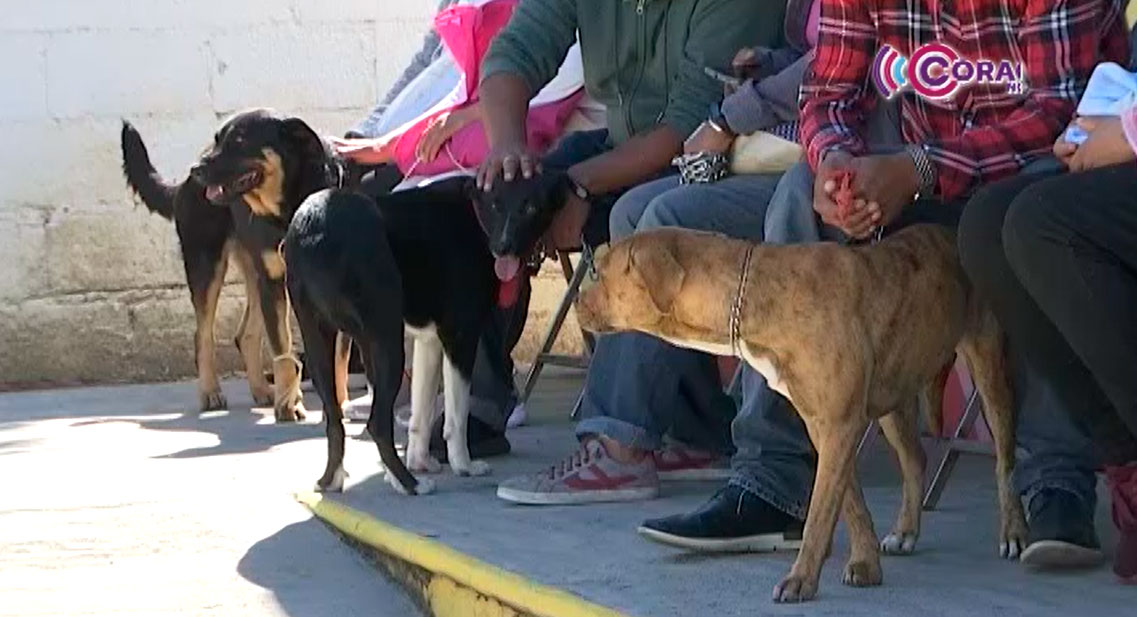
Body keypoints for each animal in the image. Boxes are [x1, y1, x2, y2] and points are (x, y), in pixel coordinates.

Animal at [122, 109, 341, 420]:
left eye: (239, 141)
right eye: (218, 139)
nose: (196, 169)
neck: (287, 209)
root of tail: (183, 185)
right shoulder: (274, 282)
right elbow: (283, 351)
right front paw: (289, 404)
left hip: (253, 275)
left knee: (245, 335)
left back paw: (262, 390)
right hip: (207, 266)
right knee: (203, 336)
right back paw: (211, 392)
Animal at [284, 174, 568, 497]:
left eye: (531, 207)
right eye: (495, 204)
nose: (503, 247)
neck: (475, 213)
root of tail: (314, 230)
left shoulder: (429, 342)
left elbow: (421, 411)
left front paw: (419, 461)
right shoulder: (460, 336)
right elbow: (457, 415)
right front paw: (463, 465)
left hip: (323, 342)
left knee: (334, 418)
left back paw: (334, 479)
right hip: (387, 341)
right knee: (378, 424)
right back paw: (411, 484)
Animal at [577, 226, 1032, 604]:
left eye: (601, 273)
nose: (578, 300)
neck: (752, 294)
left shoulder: (840, 426)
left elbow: (819, 513)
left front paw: (801, 580)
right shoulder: (825, 427)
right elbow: (849, 504)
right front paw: (866, 564)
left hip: (989, 369)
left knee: (1005, 460)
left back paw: (1014, 533)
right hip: (894, 393)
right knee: (915, 459)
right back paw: (905, 531)